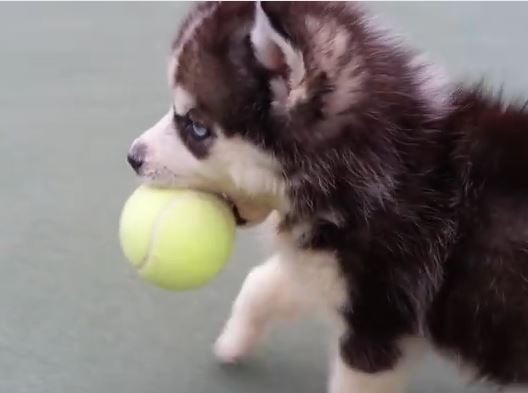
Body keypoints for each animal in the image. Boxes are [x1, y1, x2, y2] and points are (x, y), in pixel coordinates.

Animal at [127, 3, 528, 392]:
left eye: (196, 128)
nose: (132, 157)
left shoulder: (376, 324)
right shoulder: (325, 271)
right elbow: (261, 284)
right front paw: (233, 341)